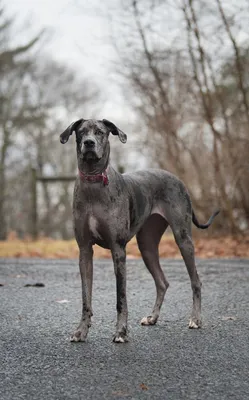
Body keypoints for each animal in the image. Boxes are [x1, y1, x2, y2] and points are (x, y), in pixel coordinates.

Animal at [59, 117, 219, 342]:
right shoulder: (84, 251)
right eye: (81, 132)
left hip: (183, 238)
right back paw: (152, 317)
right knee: (162, 282)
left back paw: (195, 319)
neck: (94, 181)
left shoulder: (118, 250)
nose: (89, 143)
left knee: (196, 280)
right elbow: (85, 298)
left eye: (100, 132)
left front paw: (120, 332)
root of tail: (178, 179)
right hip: (147, 245)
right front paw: (81, 331)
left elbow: (121, 298)